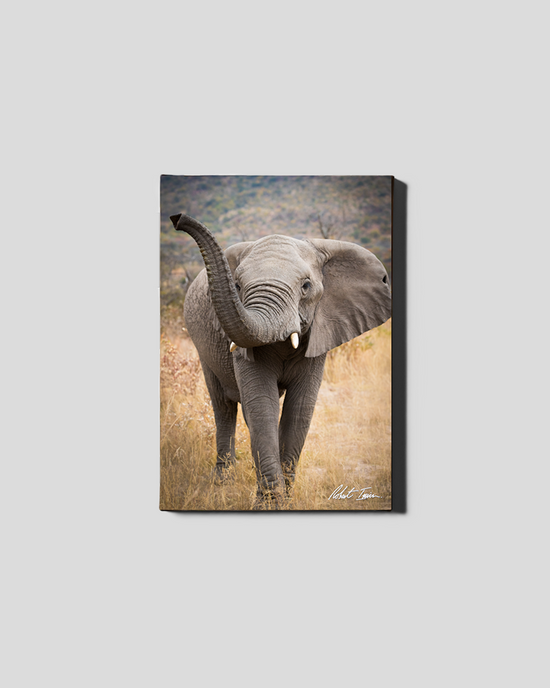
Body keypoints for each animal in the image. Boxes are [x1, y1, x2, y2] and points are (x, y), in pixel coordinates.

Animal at [170, 213, 392, 508]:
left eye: (306, 287)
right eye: (237, 286)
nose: (177, 218)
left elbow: (299, 409)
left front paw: (284, 500)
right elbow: (261, 405)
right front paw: (268, 503)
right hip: (202, 347)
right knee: (224, 407)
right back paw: (222, 483)